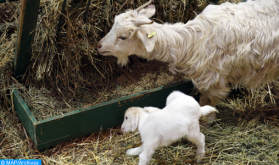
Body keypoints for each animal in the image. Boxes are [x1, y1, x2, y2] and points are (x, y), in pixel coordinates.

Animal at [98, 0, 279, 123]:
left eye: (123, 36)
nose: (99, 46)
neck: (190, 41)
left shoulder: (213, 79)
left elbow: (206, 101)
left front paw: (205, 121)